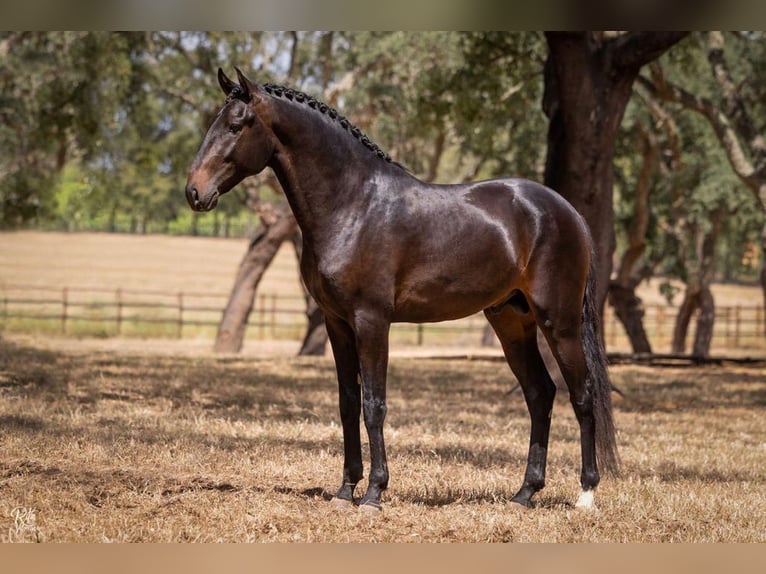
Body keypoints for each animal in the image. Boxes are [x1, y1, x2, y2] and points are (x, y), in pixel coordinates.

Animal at [188, 67, 624, 512]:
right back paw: (525, 493)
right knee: (540, 393)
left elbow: (374, 405)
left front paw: (374, 493)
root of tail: (567, 211)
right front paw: (345, 490)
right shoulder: (336, 323)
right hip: (511, 321)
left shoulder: (372, 321)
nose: (195, 192)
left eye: (236, 125)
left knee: (582, 394)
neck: (353, 204)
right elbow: (348, 402)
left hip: (560, 322)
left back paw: (586, 493)